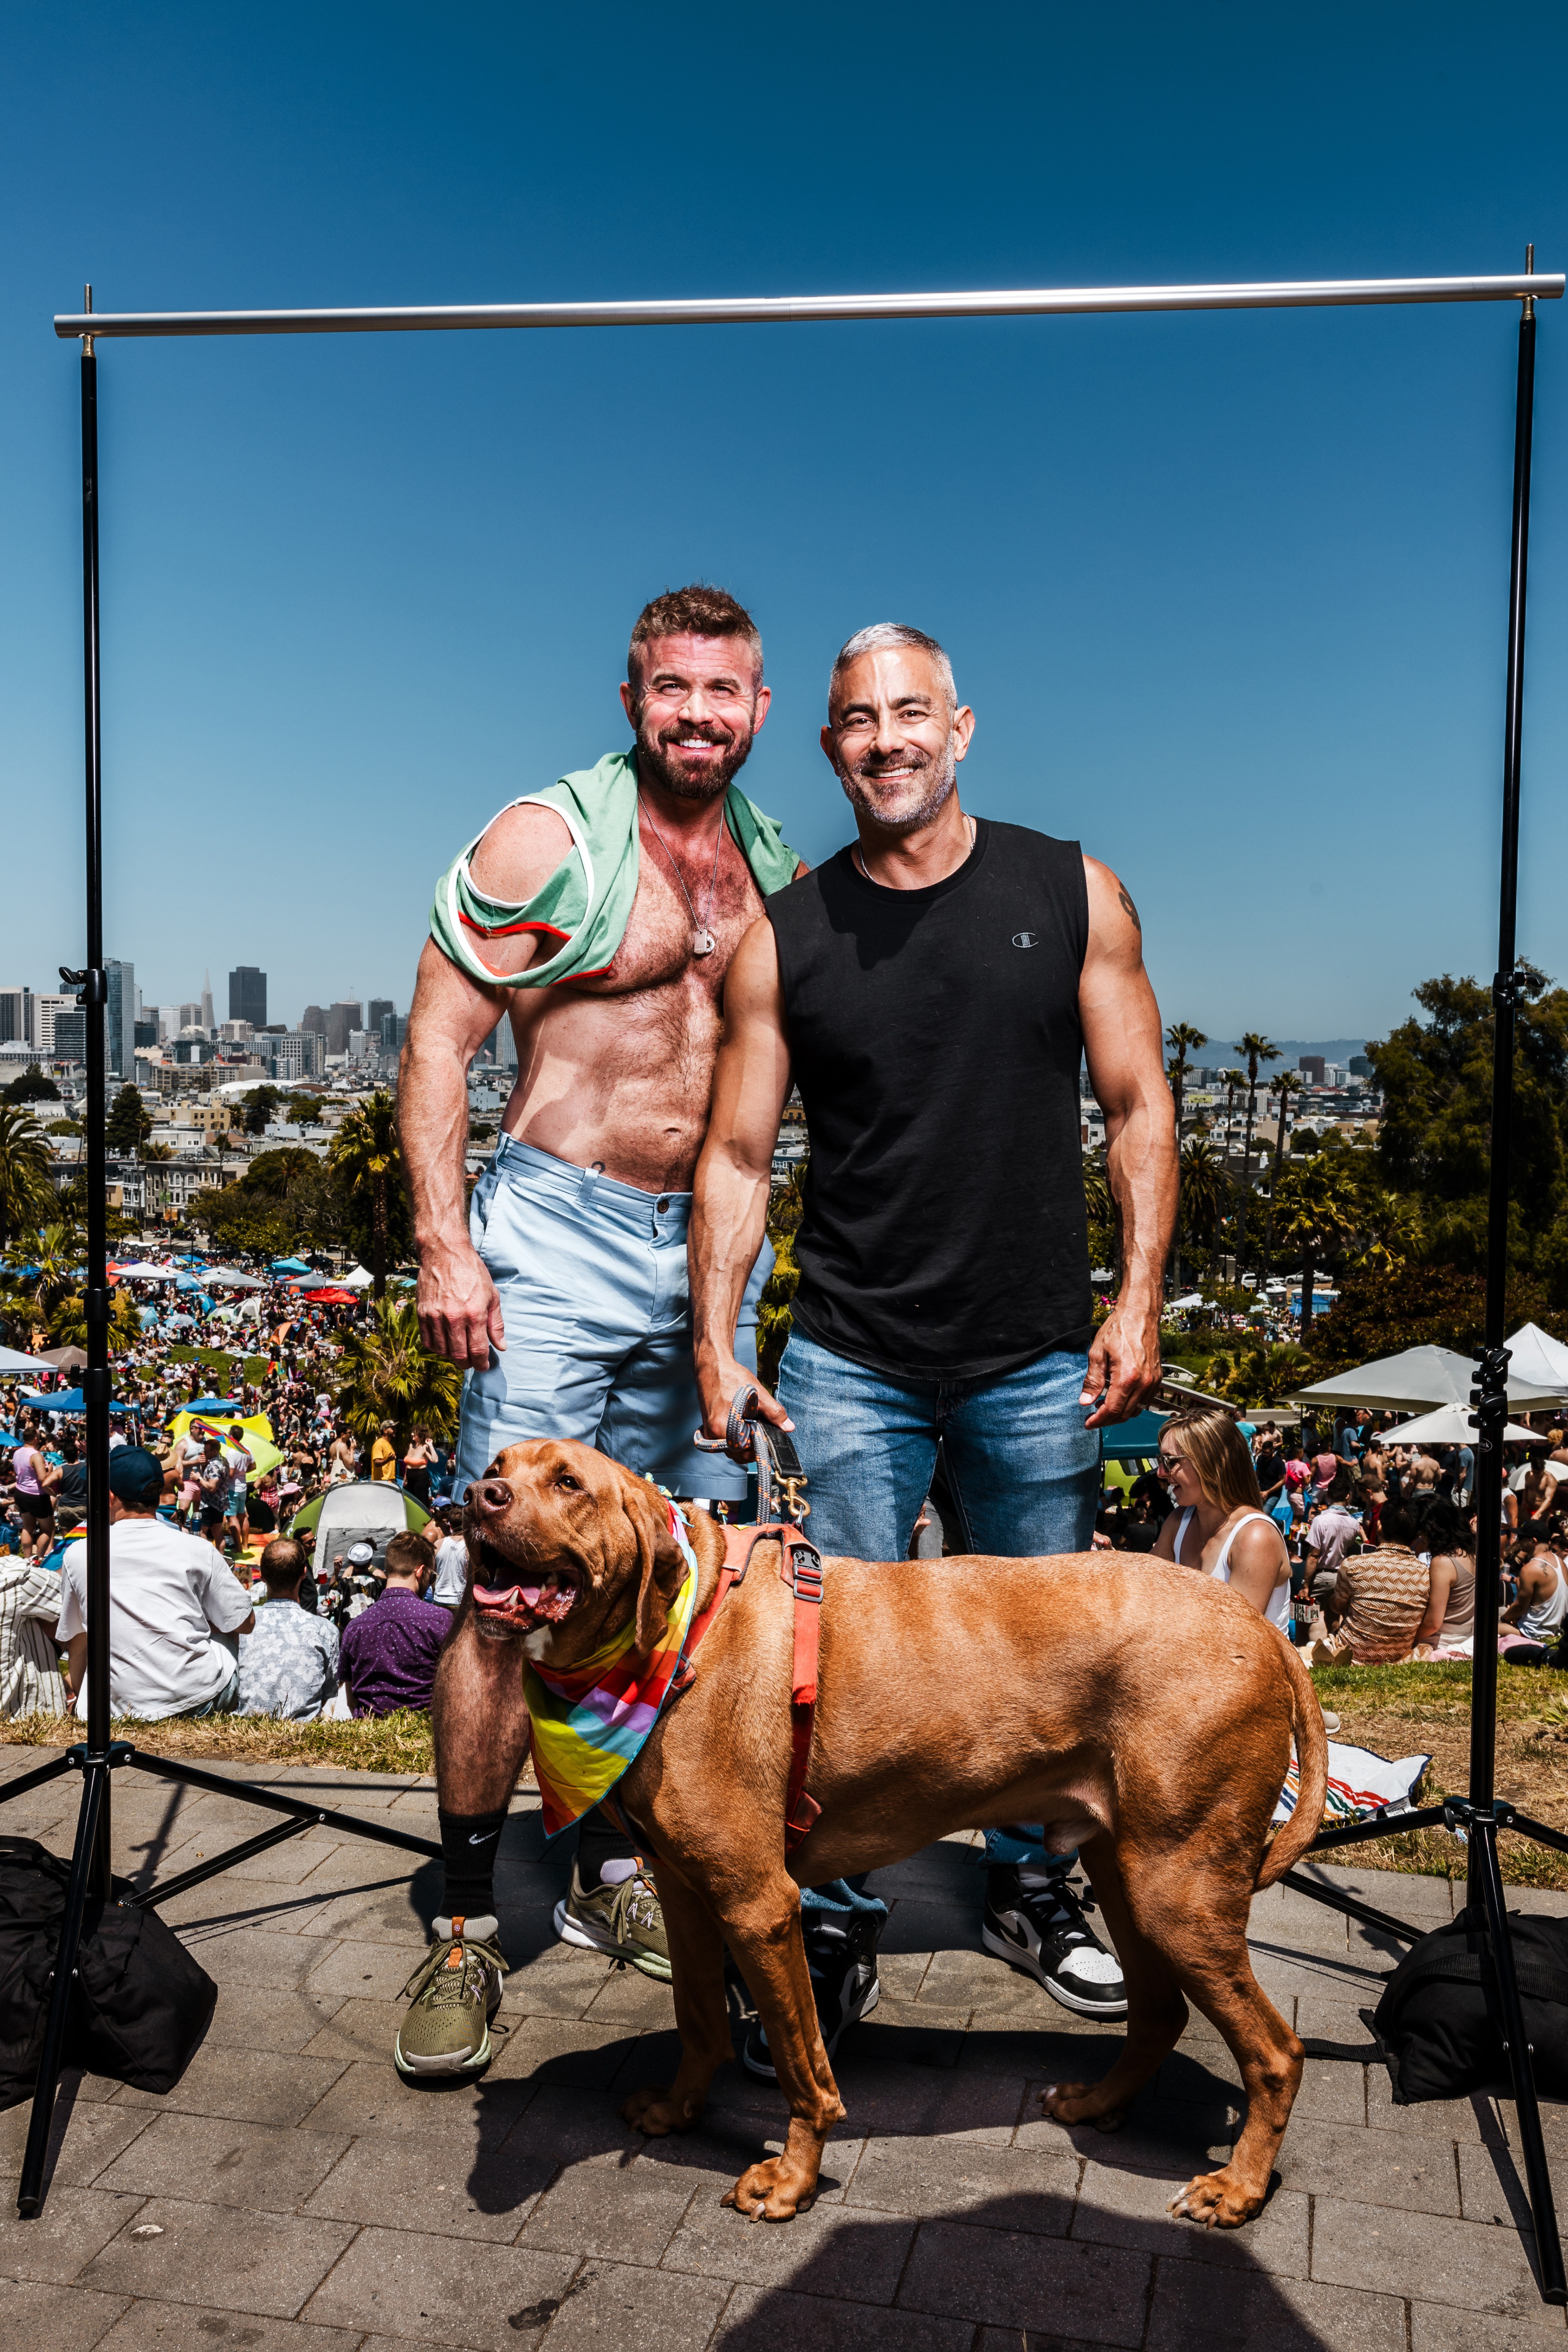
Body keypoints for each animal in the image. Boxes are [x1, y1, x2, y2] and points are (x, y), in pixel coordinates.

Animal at [463, 1439, 1326, 2230]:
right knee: (1159, 2015)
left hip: (1179, 1893)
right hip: (1131, 1875)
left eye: (568, 1482)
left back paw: (1240, 2187)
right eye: (499, 1464)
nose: (475, 1496)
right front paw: (679, 2112)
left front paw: (793, 2178)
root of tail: (1264, 1628)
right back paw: (1098, 2103)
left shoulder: (758, 1905)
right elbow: (700, 2017)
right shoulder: (683, 1890)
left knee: (1277, 2052)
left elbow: (802, 2064)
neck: (684, 1624)